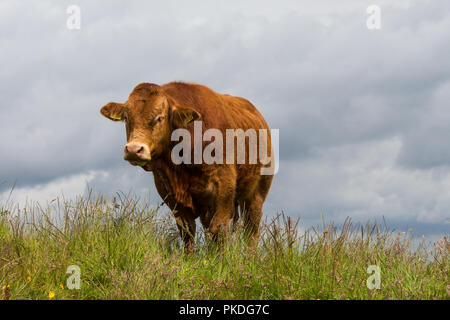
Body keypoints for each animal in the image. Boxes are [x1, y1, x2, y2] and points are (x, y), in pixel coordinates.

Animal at [100, 81, 272, 251]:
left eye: (160, 118)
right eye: (126, 118)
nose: (134, 150)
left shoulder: (224, 189)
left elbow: (220, 230)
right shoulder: (172, 196)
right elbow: (188, 232)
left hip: (256, 196)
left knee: (251, 231)